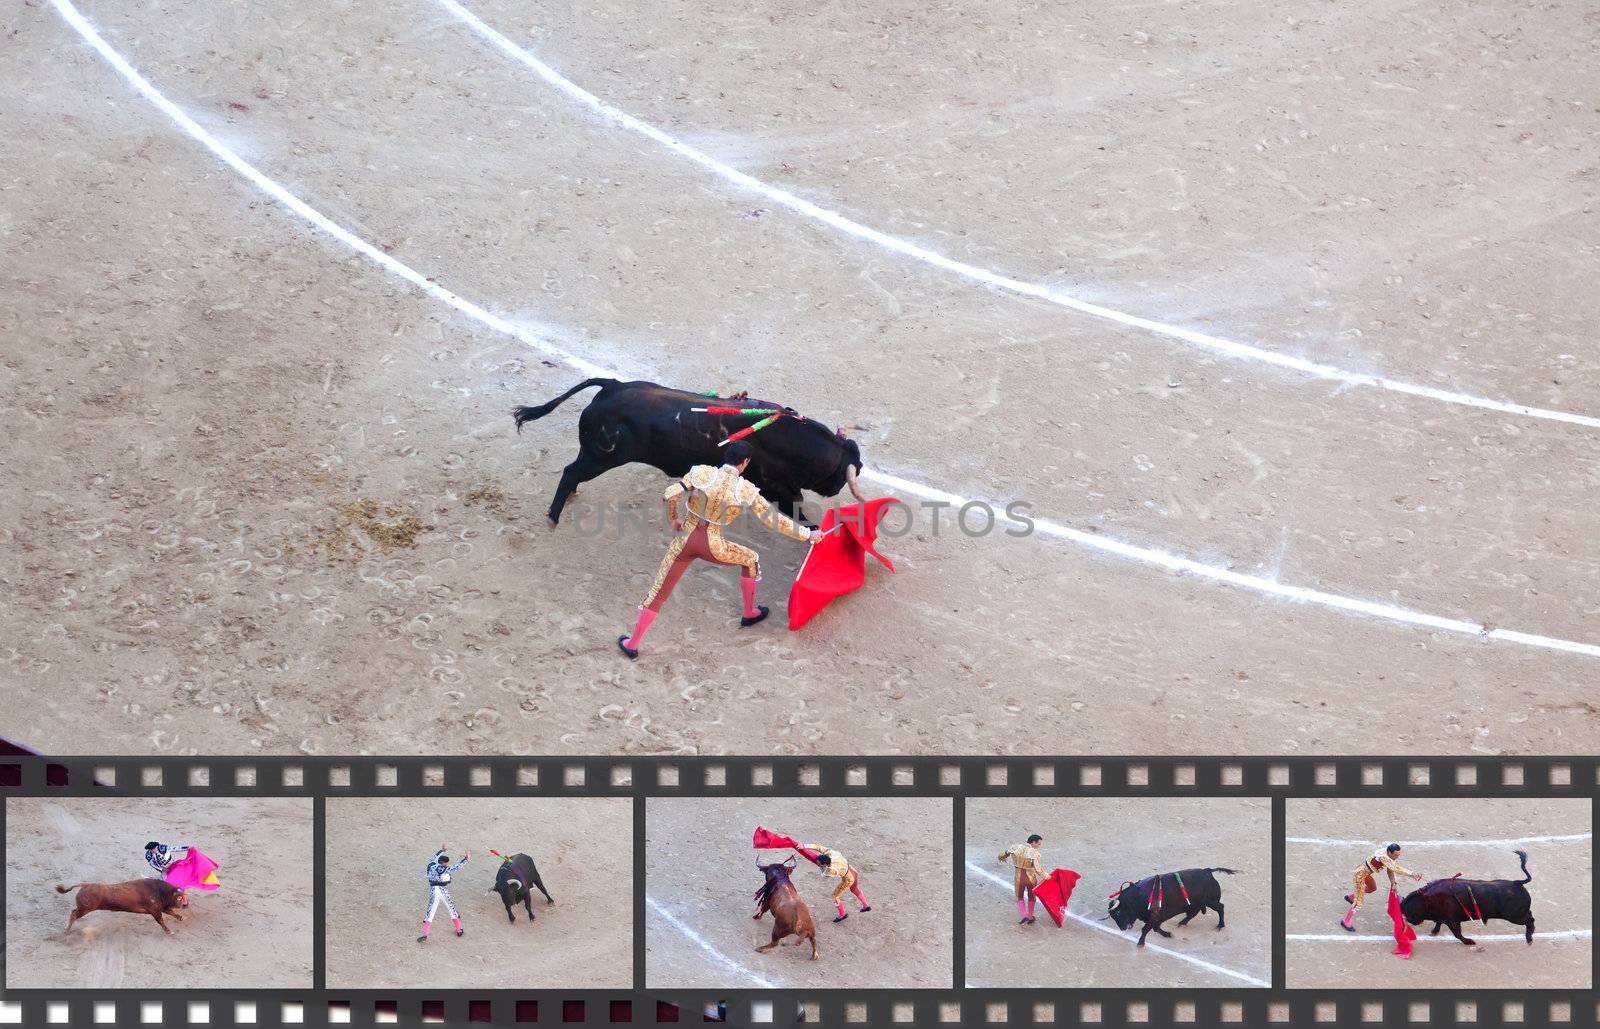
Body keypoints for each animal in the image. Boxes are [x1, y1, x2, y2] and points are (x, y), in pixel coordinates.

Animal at [56, 876, 185, 934]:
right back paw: (66, 930)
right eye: (179, 898)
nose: (183, 906)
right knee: (74, 914)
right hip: (85, 909)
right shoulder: (155, 910)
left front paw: (180, 917)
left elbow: (171, 912)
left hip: (84, 908)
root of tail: (85, 885)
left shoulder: (160, 907)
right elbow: (161, 920)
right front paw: (169, 931)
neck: (159, 891)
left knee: (73, 912)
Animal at [512, 377, 864, 524]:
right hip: (601, 456)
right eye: (843, 476)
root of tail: (612, 385)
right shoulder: (779, 489)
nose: (835, 490)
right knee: (570, 472)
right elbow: (800, 513)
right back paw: (553, 516)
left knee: (572, 474)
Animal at [1107, 864, 1241, 947]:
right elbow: (1155, 928)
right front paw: (1168, 934)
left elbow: (1146, 929)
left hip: (1210, 901)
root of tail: (1207, 871)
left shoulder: (1154, 917)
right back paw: (1182, 923)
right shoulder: (1158, 918)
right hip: (1194, 904)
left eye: (1118, 912)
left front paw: (1140, 943)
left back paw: (1220, 925)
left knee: (1220, 907)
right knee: (1193, 913)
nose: (1123, 928)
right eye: (1112, 916)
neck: (1136, 898)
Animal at [1401, 851, 1536, 947]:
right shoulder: (1443, 917)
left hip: (1514, 916)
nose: (1409, 921)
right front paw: (1434, 931)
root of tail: (1517, 882)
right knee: (1530, 915)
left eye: (1409, 913)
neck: (1427, 900)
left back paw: (1529, 939)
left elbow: (1457, 934)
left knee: (1529, 920)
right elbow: (1439, 922)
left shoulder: (1452, 921)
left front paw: (1469, 941)